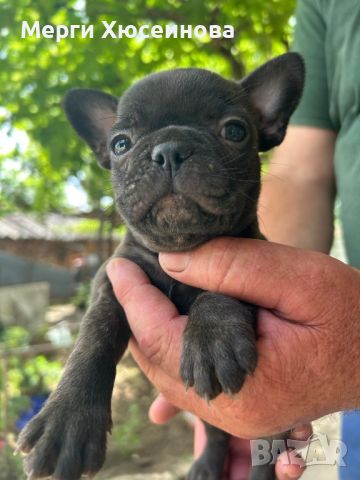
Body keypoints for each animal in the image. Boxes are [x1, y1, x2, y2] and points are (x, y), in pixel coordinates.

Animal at [16, 53, 304, 480]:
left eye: (235, 131)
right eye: (120, 144)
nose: (170, 149)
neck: (183, 248)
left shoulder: (253, 256)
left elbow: (222, 283)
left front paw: (212, 338)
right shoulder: (112, 277)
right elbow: (94, 335)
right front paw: (67, 419)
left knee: (265, 449)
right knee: (215, 433)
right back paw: (205, 465)